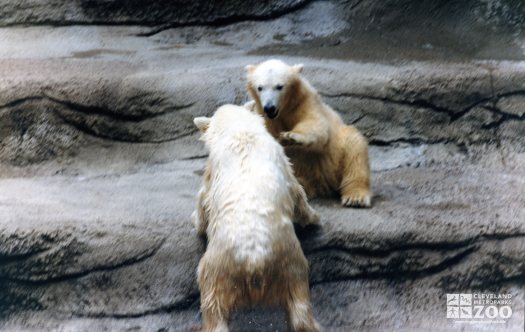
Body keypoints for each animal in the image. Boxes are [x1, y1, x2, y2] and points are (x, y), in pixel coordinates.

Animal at [192, 104, 320, 332]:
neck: (240, 131)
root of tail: (254, 261)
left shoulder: (214, 167)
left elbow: (203, 197)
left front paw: (196, 223)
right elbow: (296, 189)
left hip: (217, 268)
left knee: (213, 305)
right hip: (291, 266)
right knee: (300, 308)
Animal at [244, 58, 370, 206]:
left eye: (279, 86)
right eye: (260, 87)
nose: (269, 107)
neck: (284, 110)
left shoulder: (305, 103)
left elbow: (316, 125)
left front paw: (290, 136)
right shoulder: (264, 116)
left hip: (337, 153)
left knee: (354, 148)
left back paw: (355, 196)